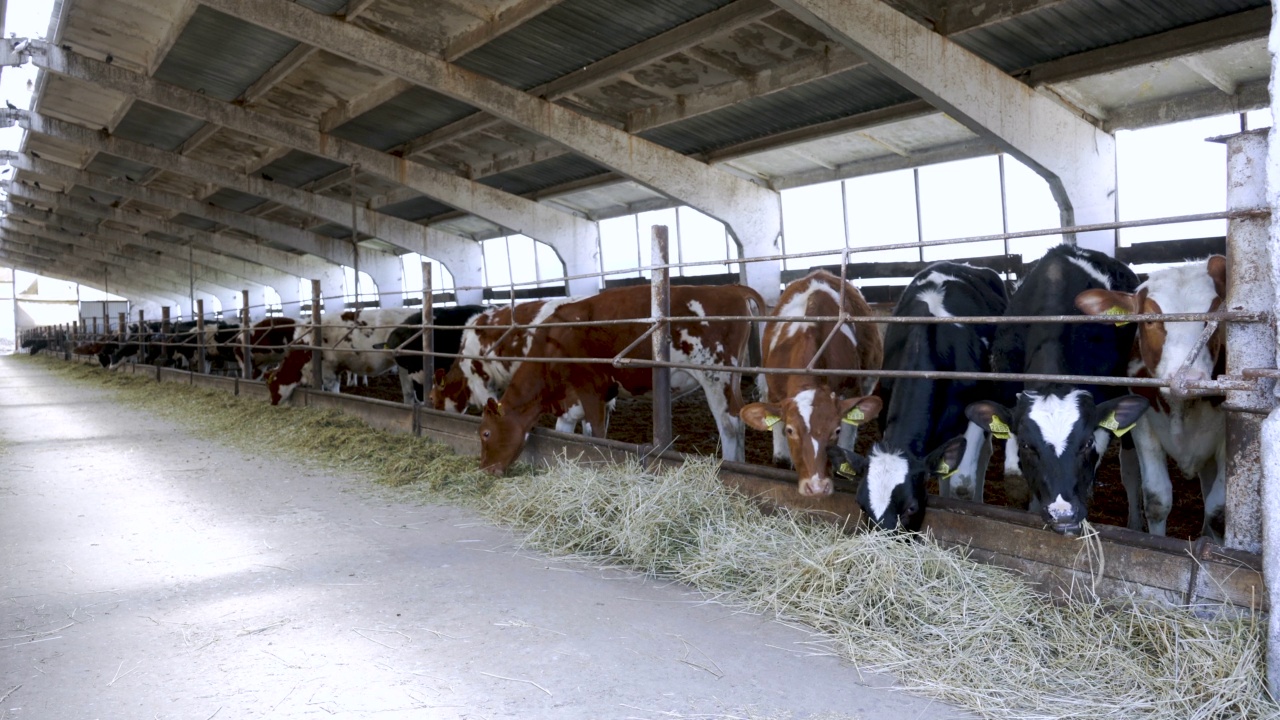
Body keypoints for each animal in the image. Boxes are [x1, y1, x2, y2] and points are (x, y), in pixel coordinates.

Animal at [478, 283, 757, 474]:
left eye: (485, 433)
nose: (486, 469)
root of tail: (730, 288)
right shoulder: (573, 402)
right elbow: (569, 433)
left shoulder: (590, 388)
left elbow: (598, 434)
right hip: (731, 378)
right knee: (740, 417)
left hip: (716, 375)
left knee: (730, 424)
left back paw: (731, 465)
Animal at [737, 266, 885, 497]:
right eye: (791, 430)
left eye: (835, 431)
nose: (816, 487)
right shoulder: (775, 390)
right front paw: (782, 457)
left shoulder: (852, 390)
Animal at [1080, 254, 1228, 535]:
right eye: (1148, 319)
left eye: (1217, 317)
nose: (1190, 380)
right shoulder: (1143, 423)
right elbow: (1157, 499)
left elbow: (1218, 510)